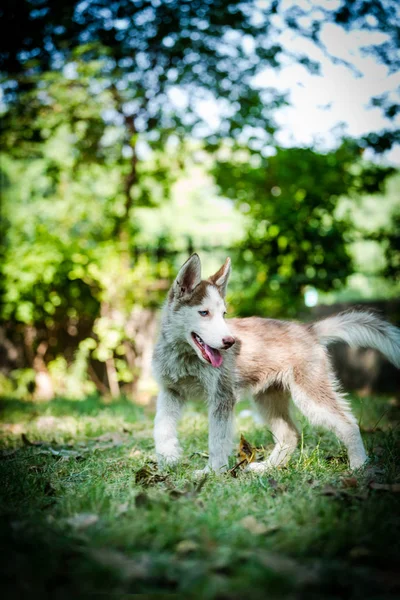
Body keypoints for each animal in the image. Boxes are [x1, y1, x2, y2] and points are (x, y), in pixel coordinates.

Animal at [153, 253, 400, 474]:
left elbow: (217, 440)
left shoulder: (222, 397)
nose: (230, 342)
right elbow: (161, 427)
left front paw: (212, 472)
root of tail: (308, 330)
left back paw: (359, 465)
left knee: (348, 423)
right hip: (267, 399)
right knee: (290, 433)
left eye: (223, 314)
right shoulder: (171, 392)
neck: (185, 355)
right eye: (203, 313)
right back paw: (269, 467)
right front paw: (168, 456)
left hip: (310, 394)